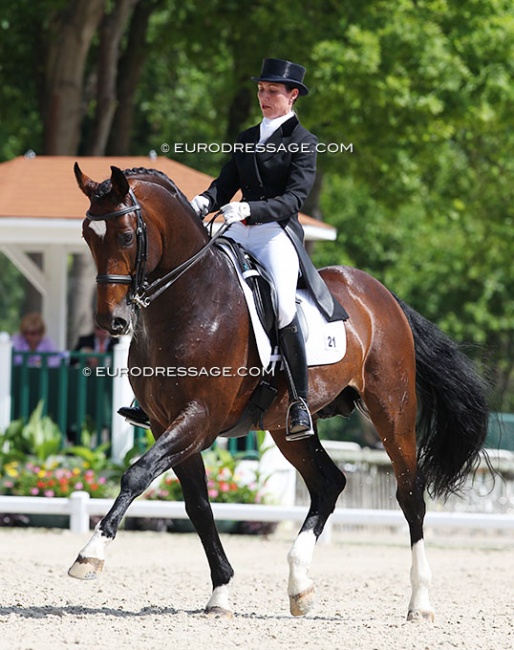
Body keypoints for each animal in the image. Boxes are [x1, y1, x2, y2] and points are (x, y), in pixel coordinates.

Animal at [69, 162, 488, 616]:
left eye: (127, 236)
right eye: (87, 234)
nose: (111, 321)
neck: (192, 302)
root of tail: (381, 294)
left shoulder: (199, 419)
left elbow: (137, 474)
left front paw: (90, 555)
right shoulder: (166, 424)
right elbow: (197, 506)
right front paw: (220, 593)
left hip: (393, 411)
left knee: (410, 495)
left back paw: (419, 602)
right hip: (287, 428)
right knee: (328, 484)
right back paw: (299, 584)